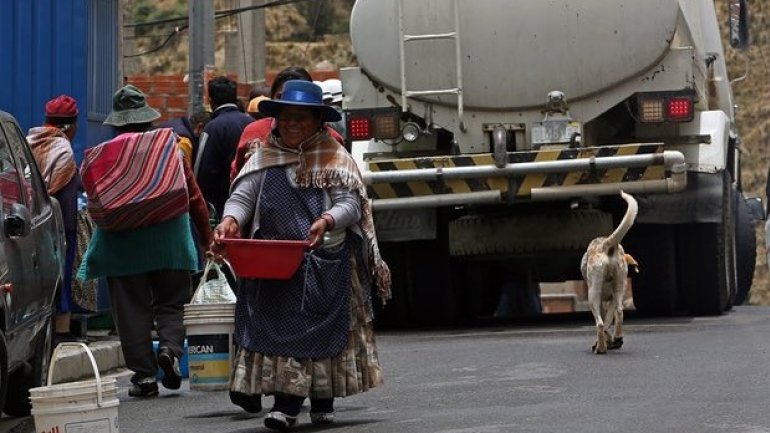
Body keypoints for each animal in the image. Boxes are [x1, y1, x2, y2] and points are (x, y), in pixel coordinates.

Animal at [580, 191, 640, 352]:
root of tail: (607, 244)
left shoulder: (601, 301)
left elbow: (604, 322)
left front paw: (603, 342)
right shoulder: (612, 299)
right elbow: (609, 320)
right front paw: (613, 340)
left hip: (593, 295)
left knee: (600, 324)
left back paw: (601, 348)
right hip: (618, 287)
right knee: (619, 312)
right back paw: (617, 338)